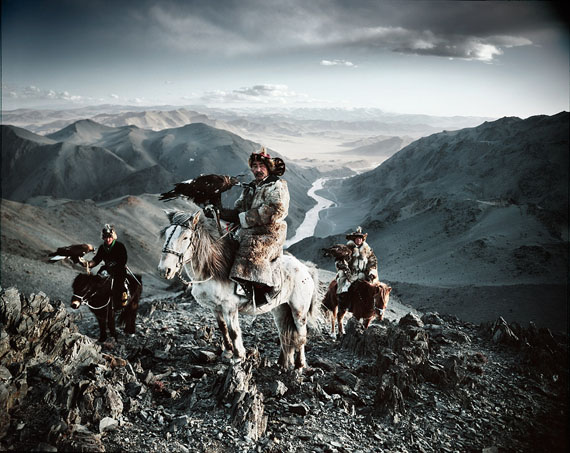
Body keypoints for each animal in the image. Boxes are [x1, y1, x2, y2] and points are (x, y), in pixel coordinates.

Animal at [158, 207, 322, 370]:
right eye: (166, 234)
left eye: (185, 237)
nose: (164, 270)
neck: (212, 270)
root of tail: (305, 269)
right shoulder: (215, 308)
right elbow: (223, 328)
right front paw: (227, 352)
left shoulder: (229, 307)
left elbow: (234, 331)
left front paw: (238, 357)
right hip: (281, 308)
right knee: (284, 332)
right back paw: (281, 363)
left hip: (299, 310)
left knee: (301, 335)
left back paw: (299, 366)